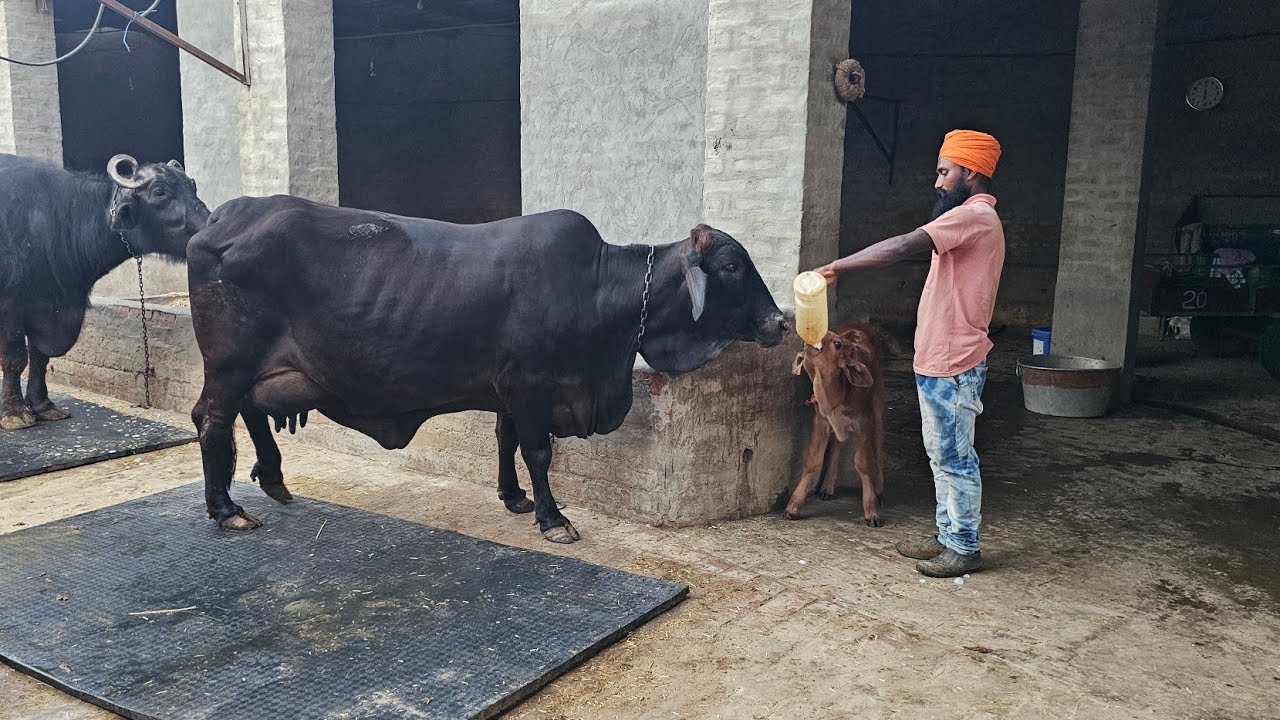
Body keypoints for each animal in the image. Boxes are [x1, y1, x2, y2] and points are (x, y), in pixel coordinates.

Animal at [0, 153, 211, 430]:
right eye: (159, 192)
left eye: (192, 186)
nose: (210, 224)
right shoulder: (10, 307)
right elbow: (15, 359)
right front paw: (15, 413)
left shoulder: (47, 309)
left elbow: (40, 358)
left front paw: (43, 406)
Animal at [187, 197, 788, 543]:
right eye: (731, 266)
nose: (779, 322)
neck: (598, 289)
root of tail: (222, 217)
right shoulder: (531, 385)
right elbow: (538, 451)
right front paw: (553, 519)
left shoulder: (508, 392)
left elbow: (506, 440)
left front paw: (514, 498)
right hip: (228, 362)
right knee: (212, 419)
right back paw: (226, 509)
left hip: (257, 368)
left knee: (248, 413)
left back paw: (273, 478)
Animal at [787, 322, 889, 527]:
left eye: (837, 344)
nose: (810, 336)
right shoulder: (821, 421)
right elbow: (813, 461)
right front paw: (793, 507)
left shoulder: (864, 422)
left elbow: (864, 462)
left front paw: (872, 511)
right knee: (836, 446)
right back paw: (827, 487)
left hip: (878, 406)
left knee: (878, 442)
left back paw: (879, 490)